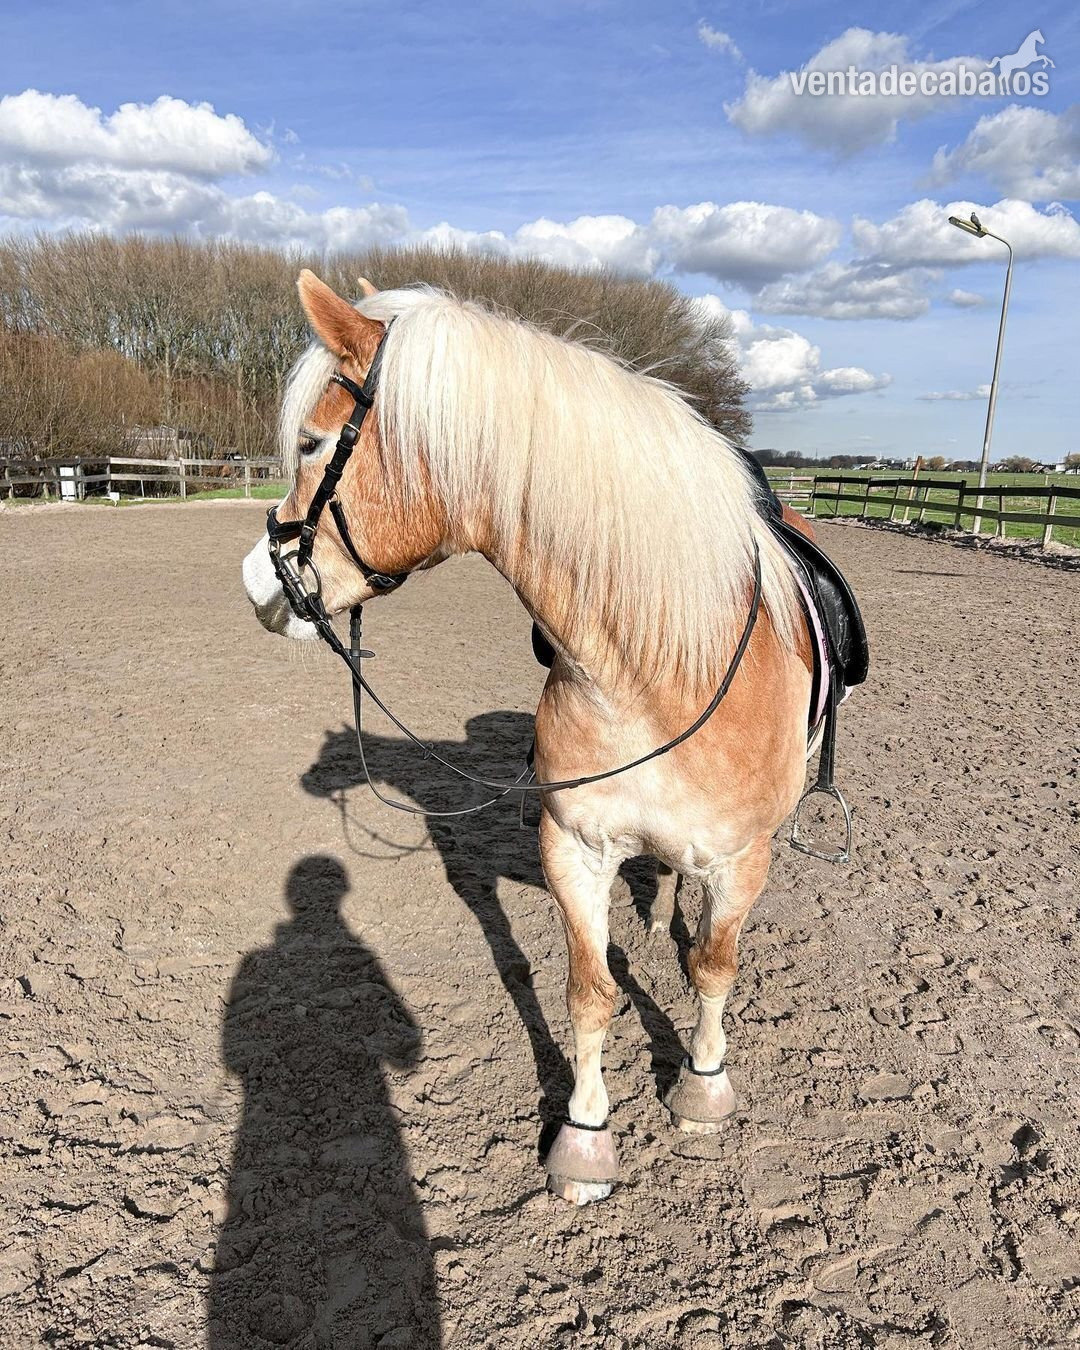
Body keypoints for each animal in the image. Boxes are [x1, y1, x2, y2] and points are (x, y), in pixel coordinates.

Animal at [242, 271, 817, 1205]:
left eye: (310, 441)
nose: (257, 581)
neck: (652, 676)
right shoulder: (575, 850)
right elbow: (589, 991)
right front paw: (584, 1140)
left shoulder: (741, 860)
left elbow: (715, 970)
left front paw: (701, 1089)